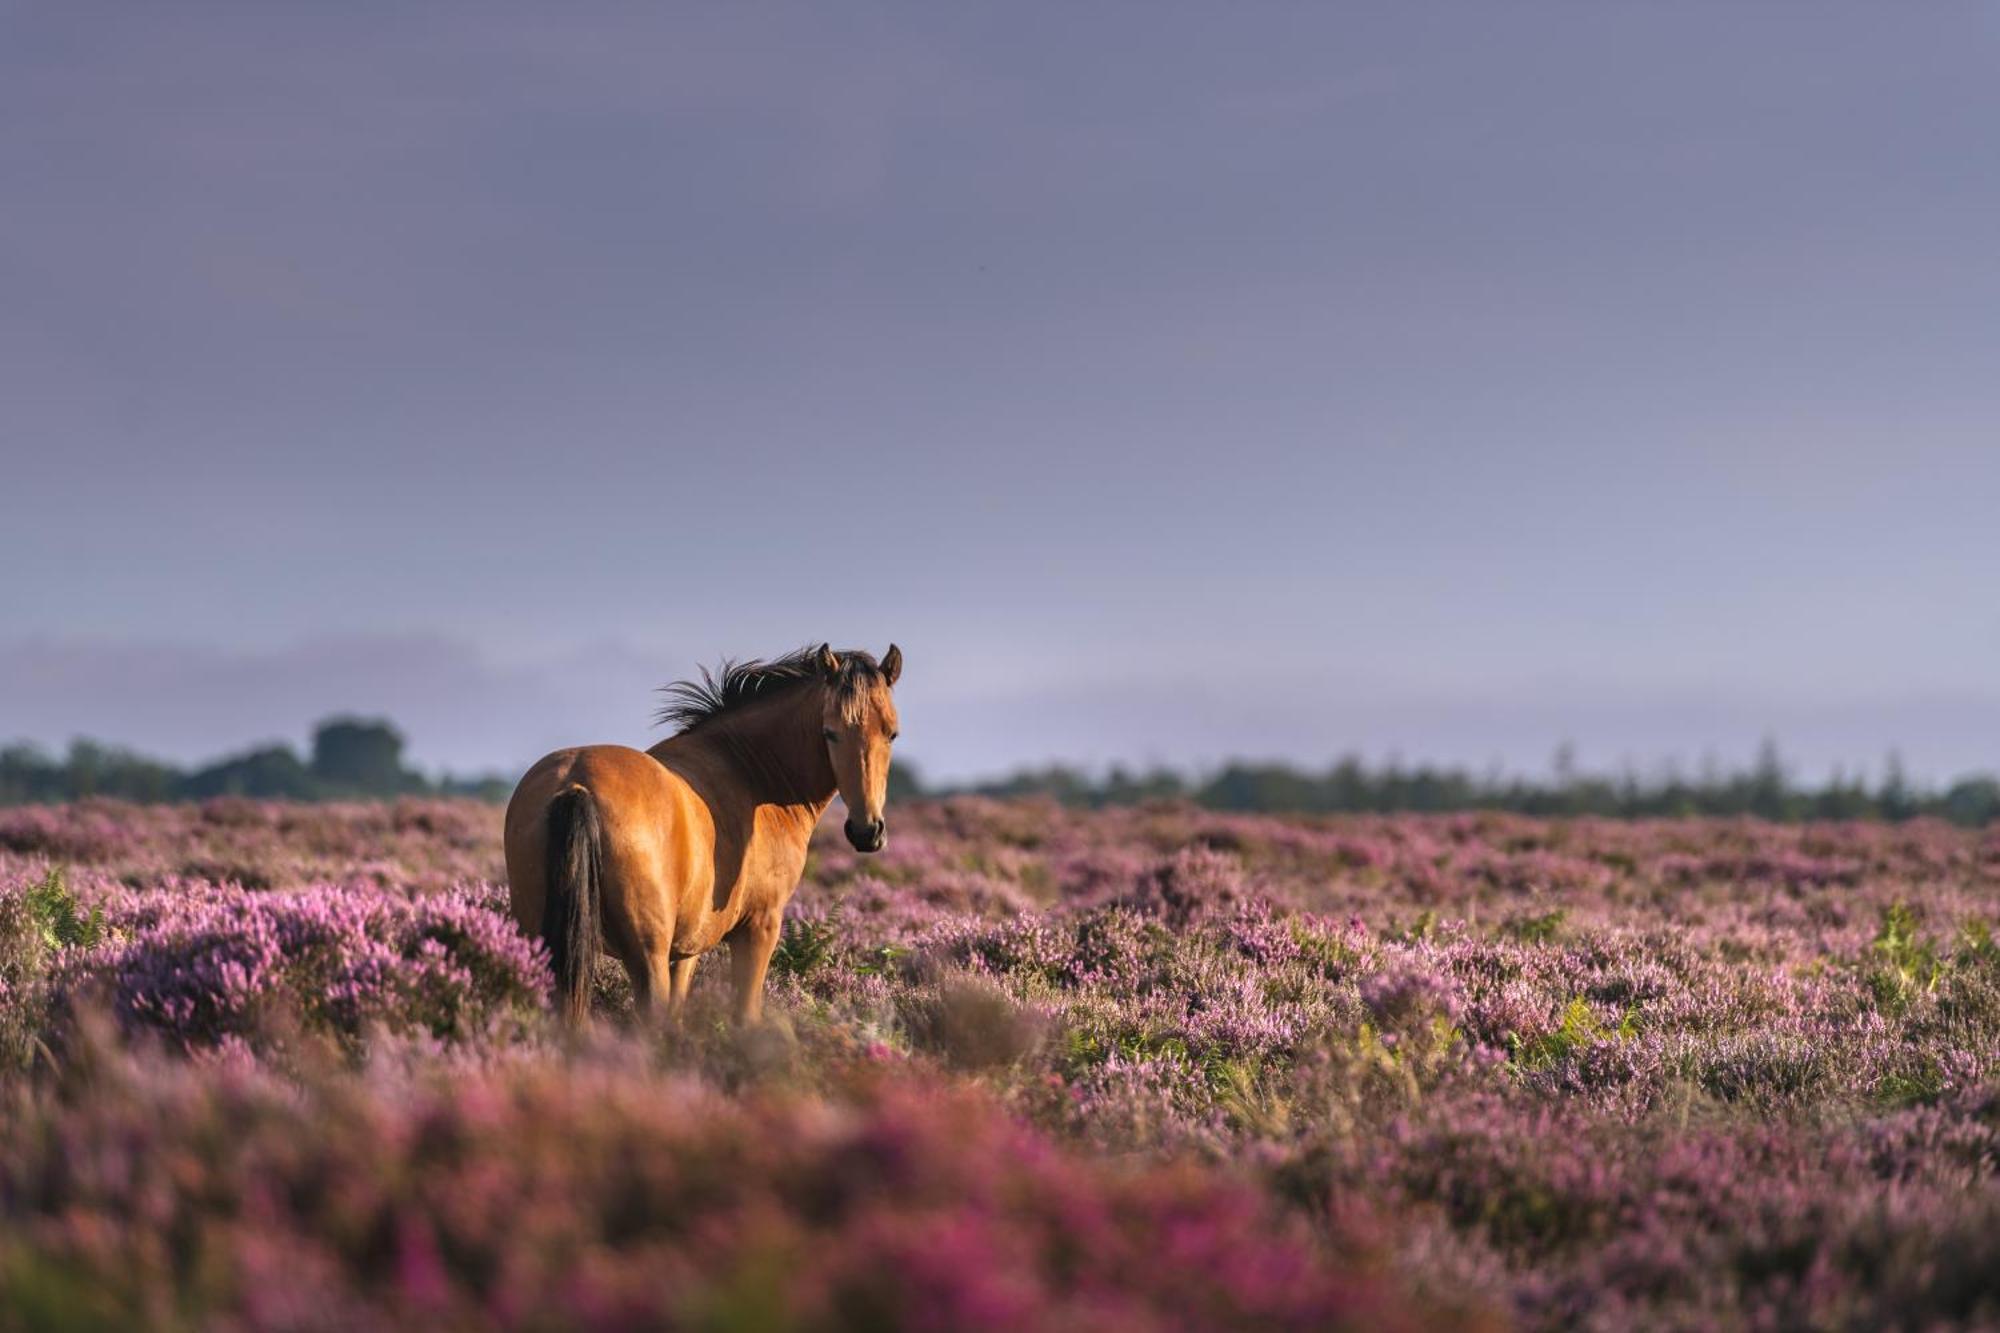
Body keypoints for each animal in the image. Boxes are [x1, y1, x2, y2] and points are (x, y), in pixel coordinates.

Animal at [504, 640, 904, 1016]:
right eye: (830, 732)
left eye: (891, 733)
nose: (866, 831)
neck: (753, 775)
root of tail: (576, 782)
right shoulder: (759, 927)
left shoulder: (687, 949)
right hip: (645, 955)